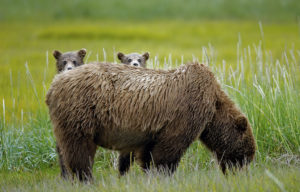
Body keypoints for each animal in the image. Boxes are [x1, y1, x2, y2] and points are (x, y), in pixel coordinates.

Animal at [46, 62, 255, 182]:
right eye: (246, 155)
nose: (241, 175)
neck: (213, 106)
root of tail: (53, 85)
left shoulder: (150, 130)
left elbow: (147, 153)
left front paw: (148, 174)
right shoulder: (184, 113)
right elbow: (169, 149)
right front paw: (164, 174)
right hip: (81, 111)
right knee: (79, 148)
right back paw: (86, 178)